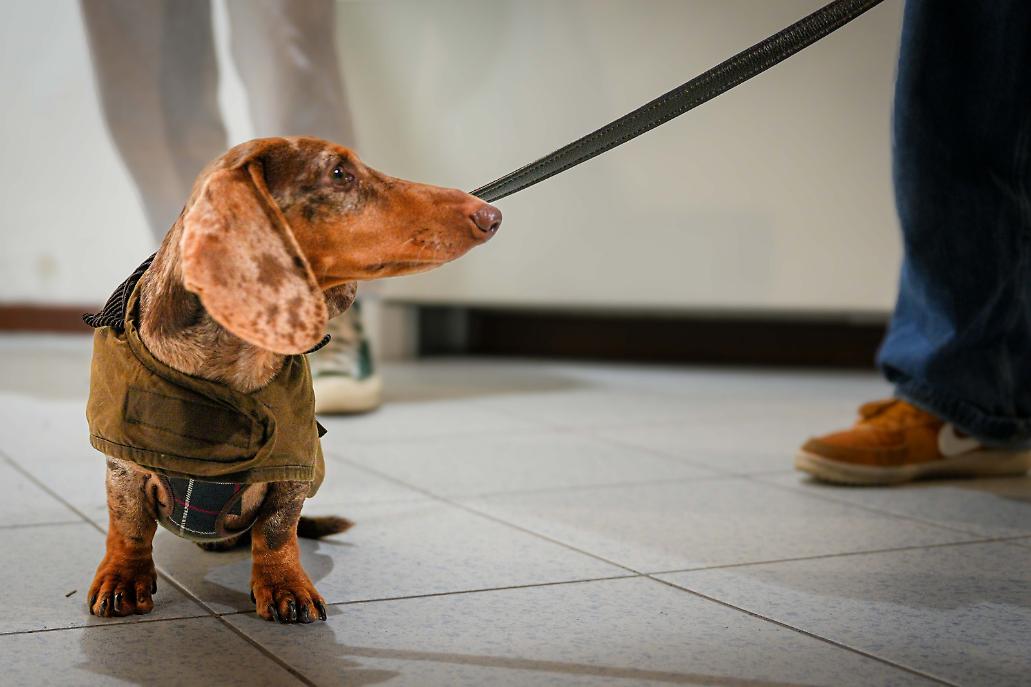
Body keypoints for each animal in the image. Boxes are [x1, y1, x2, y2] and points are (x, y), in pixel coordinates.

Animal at [84, 137, 501, 623]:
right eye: (339, 173)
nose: (491, 215)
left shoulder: (292, 474)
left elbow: (277, 532)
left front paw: (285, 585)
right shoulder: (125, 466)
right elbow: (129, 525)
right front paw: (123, 578)